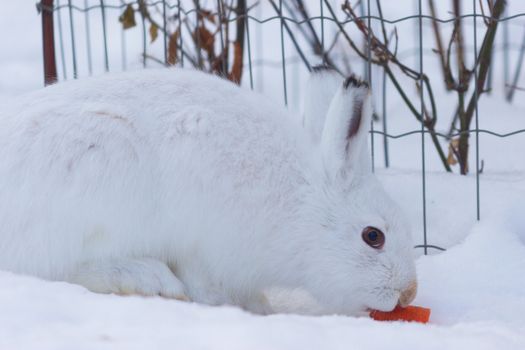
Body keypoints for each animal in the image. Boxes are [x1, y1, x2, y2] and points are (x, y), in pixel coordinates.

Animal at [0, 67, 418, 314]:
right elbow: (206, 285)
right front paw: (244, 309)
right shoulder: (205, 245)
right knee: (59, 269)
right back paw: (149, 279)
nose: (408, 294)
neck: (302, 204)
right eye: (373, 236)